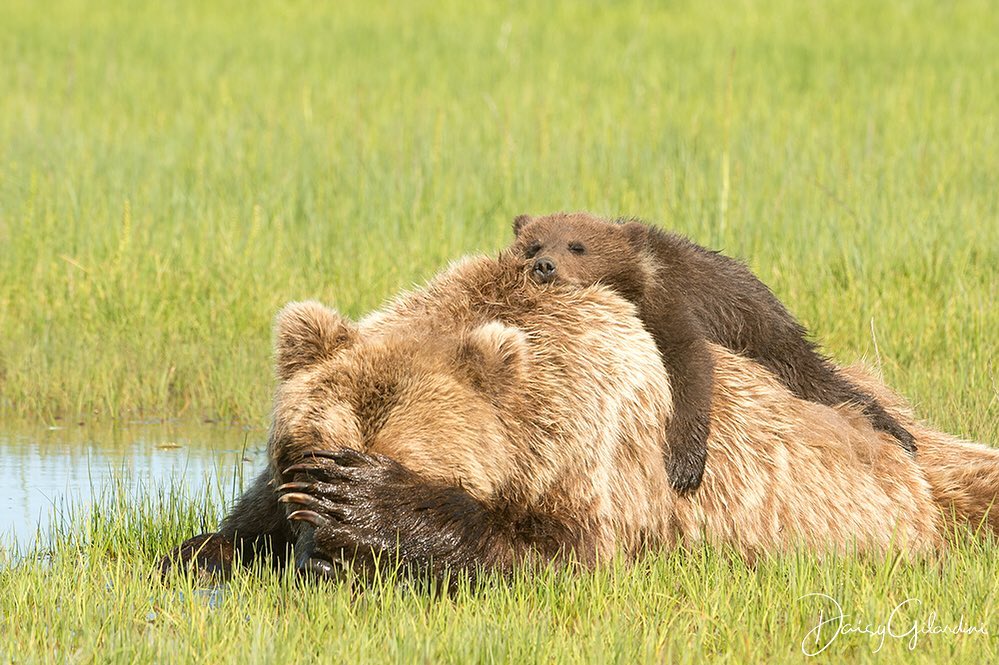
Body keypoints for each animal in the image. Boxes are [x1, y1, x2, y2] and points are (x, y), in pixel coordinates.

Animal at [160, 252, 999, 584]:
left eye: (405, 460)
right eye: (307, 455)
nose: (328, 560)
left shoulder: (605, 456)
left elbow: (566, 553)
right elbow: (230, 530)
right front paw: (201, 549)